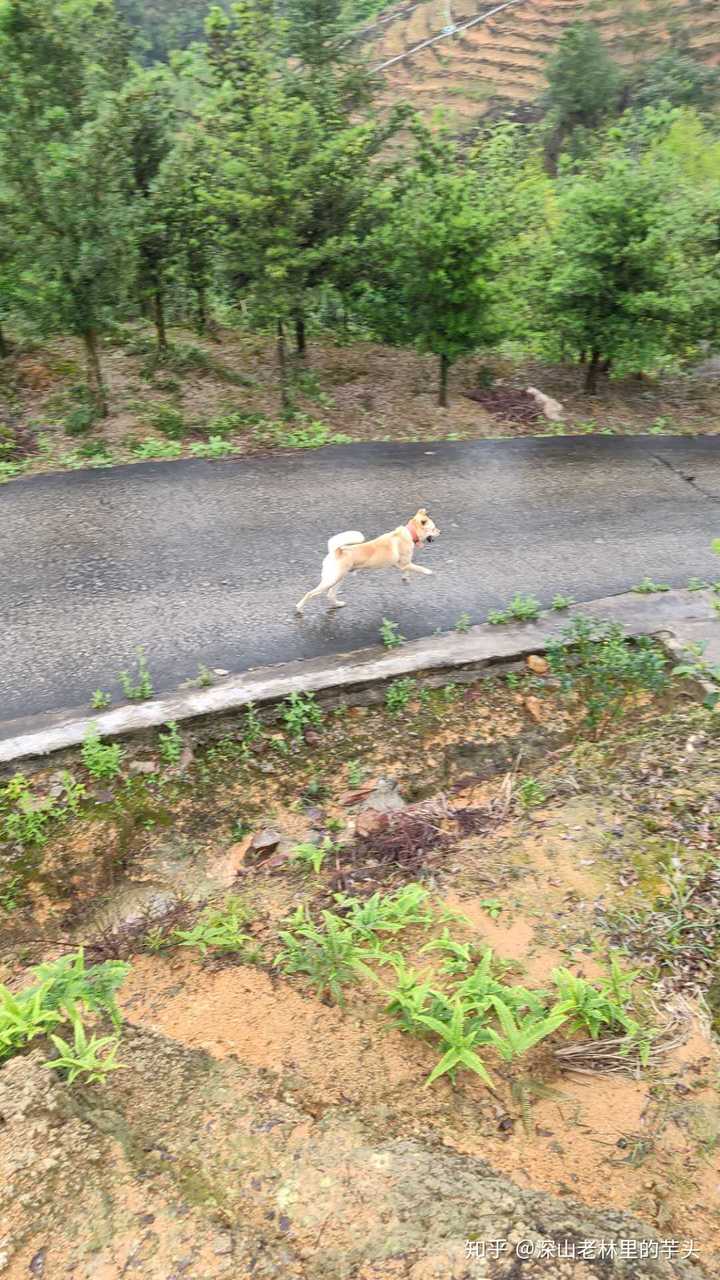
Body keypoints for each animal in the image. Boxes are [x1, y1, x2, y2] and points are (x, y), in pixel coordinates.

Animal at [292, 504, 438, 614]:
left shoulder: (404, 564)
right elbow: (418, 568)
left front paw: (406, 578)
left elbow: (408, 570)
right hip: (331, 580)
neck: (410, 533)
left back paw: (337, 604)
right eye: (433, 528)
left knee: (330, 594)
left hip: (338, 579)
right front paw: (429, 572)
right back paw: (299, 608)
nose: (440, 531)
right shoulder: (404, 563)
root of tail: (337, 551)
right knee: (310, 593)